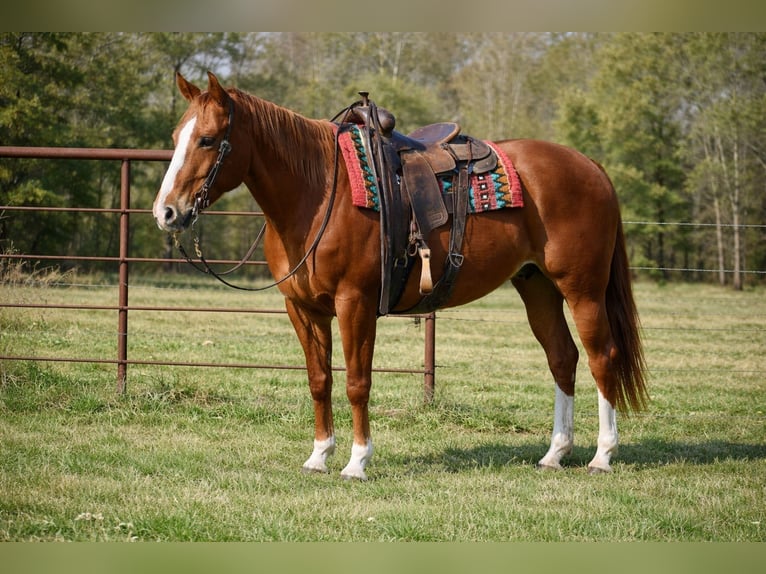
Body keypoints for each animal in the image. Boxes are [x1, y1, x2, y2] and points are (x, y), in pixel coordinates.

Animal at [153, 72, 647, 480]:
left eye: (208, 140)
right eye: (176, 136)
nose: (166, 212)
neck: (318, 193)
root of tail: (590, 166)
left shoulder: (354, 304)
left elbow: (356, 382)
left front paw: (357, 462)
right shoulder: (304, 309)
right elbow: (319, 380)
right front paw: (319, 456)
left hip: (582, 289)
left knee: (602, 356)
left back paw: (602, 455)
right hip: (537, 286)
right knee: (562, 357)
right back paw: (555, 454)